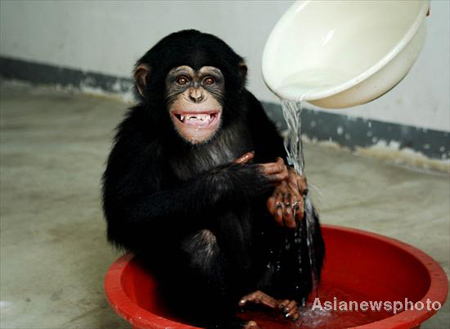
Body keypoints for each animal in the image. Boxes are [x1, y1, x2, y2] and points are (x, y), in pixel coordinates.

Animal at [103, 29, 324, 326]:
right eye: (181, 80)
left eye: (209, 80)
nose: (196, 95)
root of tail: (245, 291)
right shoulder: (136, 136)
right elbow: (126, 211)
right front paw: (236, 180)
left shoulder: (251, 107)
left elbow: (276, 148)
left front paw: (286, 190)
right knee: (198, 242)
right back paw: (223, 320)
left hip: (262, 274)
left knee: (304, 219)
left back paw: (284, 299)